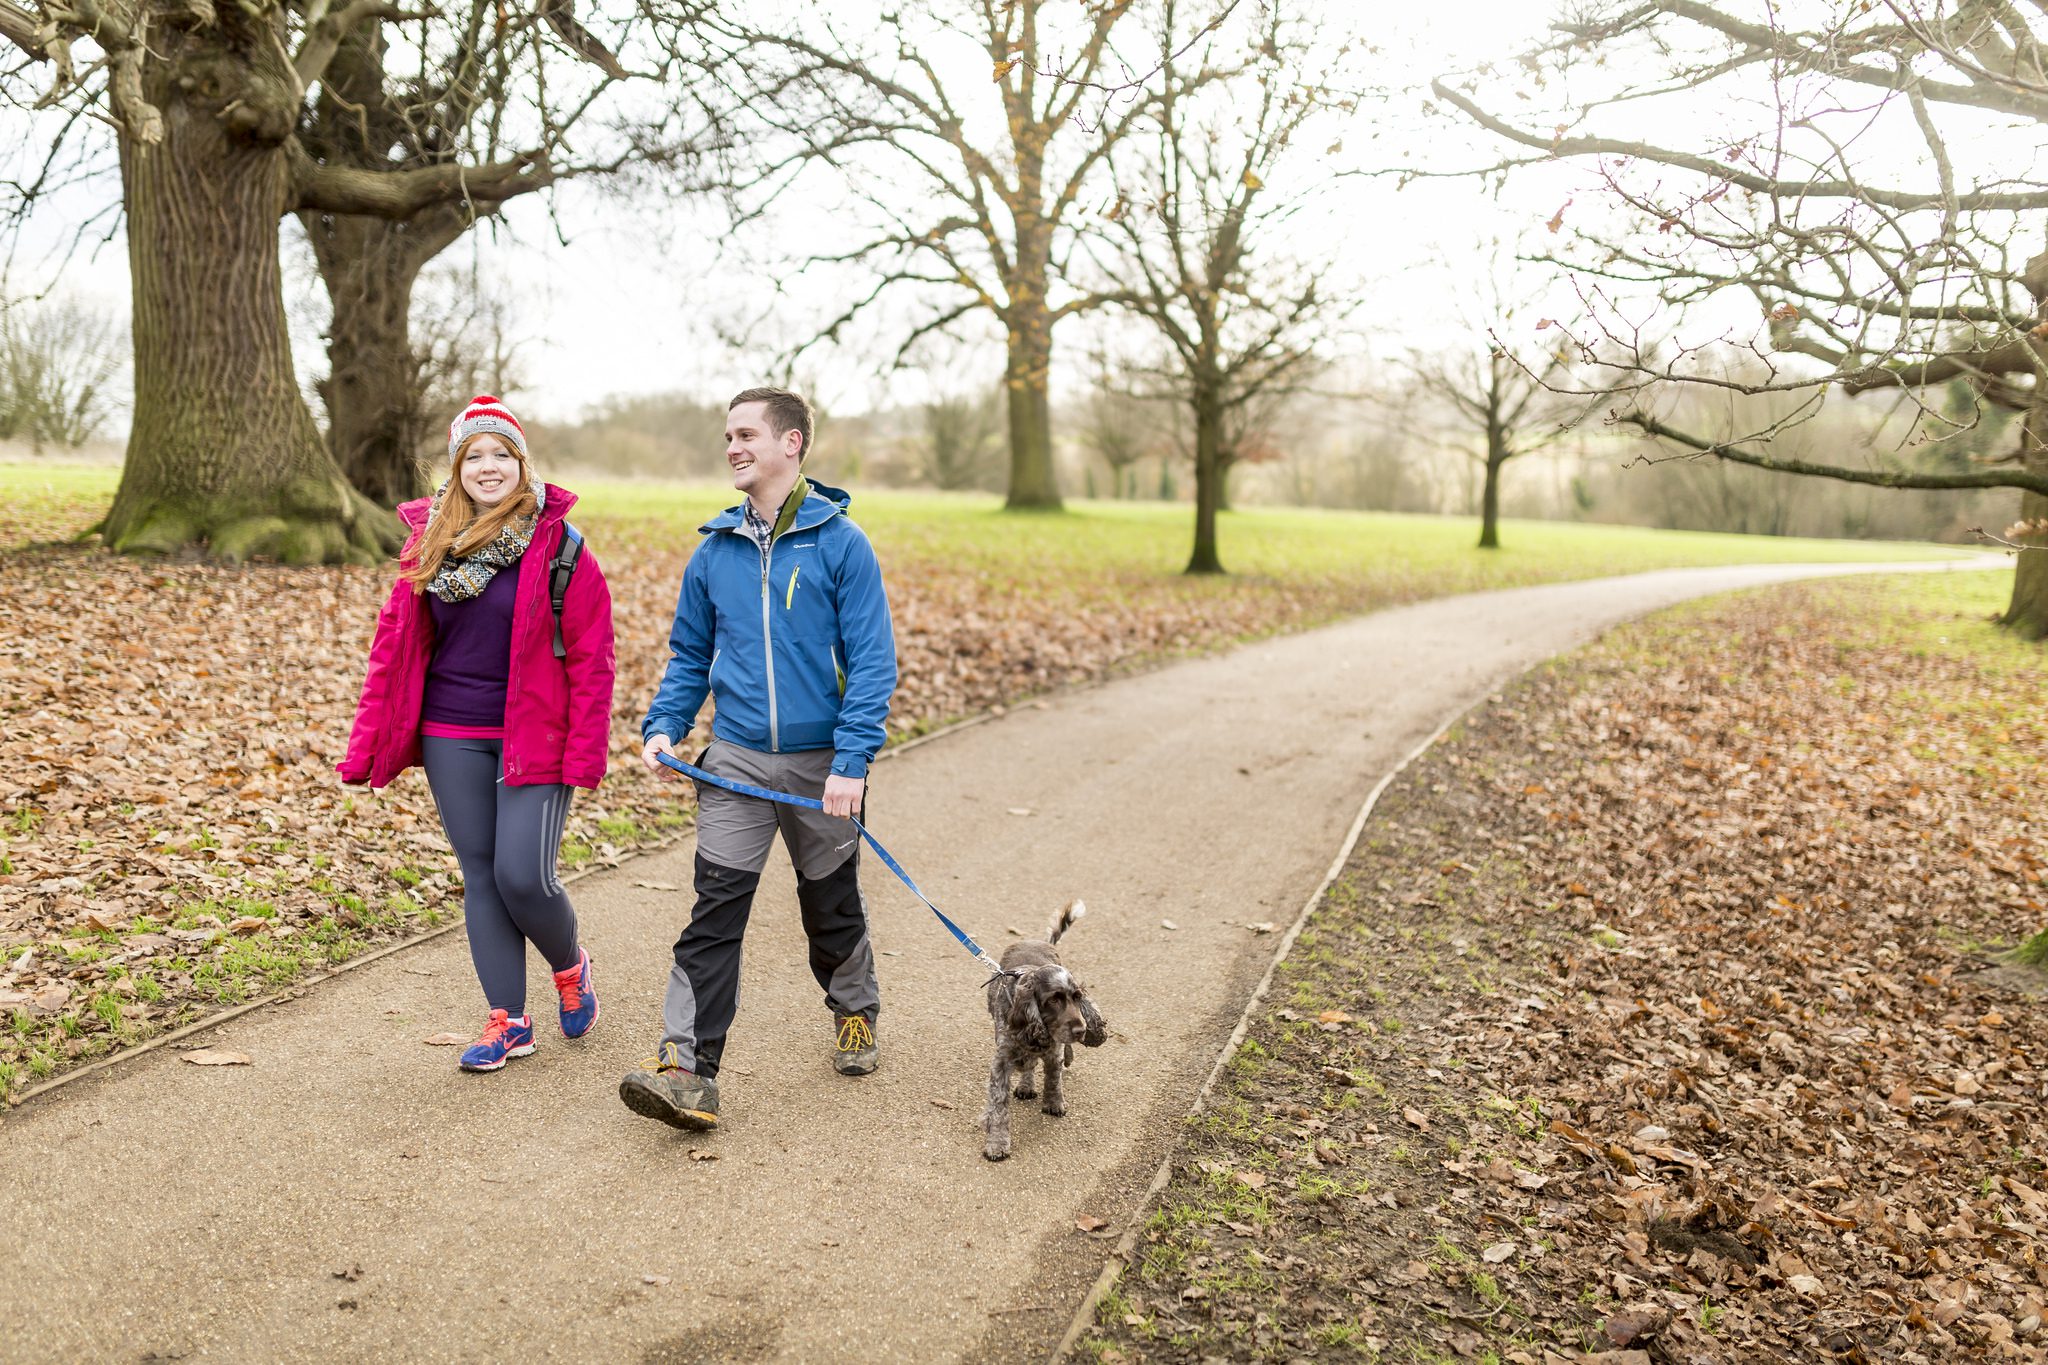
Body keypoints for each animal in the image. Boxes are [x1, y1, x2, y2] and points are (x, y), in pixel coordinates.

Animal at [982, 899, 1107, 1162]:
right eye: (1053, 1000)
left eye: (1077, 997)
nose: (1081, 1030)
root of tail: (1038, 941)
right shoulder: (1002, 1060)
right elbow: (998, 1105)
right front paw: (997, 1143)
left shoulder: (1053, 1050)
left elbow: (1053, 1078)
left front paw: (1054, 1103)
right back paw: (1026, 1085)